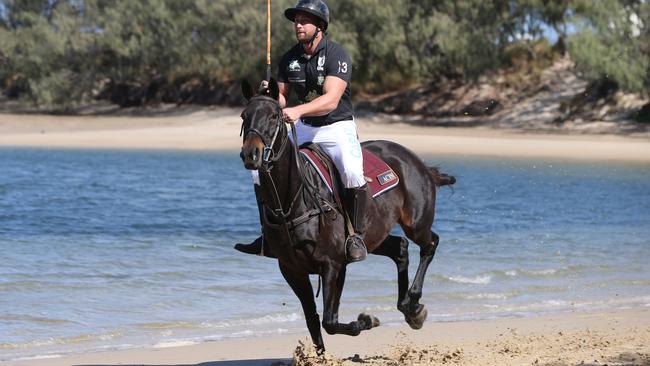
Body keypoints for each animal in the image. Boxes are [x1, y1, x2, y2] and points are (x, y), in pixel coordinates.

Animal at [238, 79, 456, 352]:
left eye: (275, 116)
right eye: (244, 116)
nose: (251, 154)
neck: (292, 201)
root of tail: (418, 161)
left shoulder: (333, 264)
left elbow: (330, 321)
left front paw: (367, 320)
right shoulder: (292, 269)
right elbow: (313, 321)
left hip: (415, 223)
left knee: (430, 243)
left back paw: (414, 304)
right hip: (374, 234)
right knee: (400, 248)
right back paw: (407, 307)